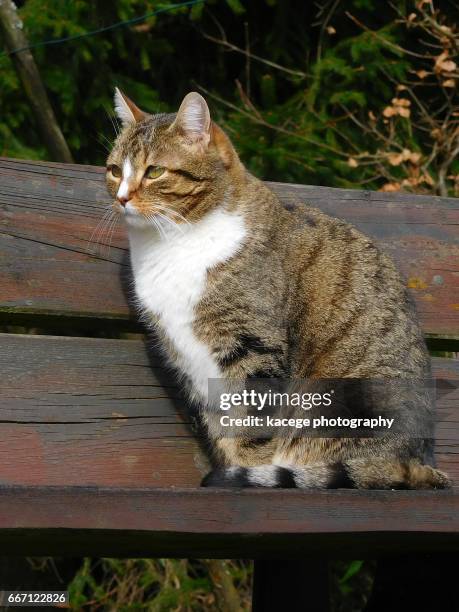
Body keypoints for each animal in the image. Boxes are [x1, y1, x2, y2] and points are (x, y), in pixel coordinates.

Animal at [105, 88, 450, 490]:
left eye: (155, 171)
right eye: (115, 170)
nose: (122, 198)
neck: (172, 242)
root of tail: (418, 464)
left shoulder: (253, 347)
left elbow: (253, 430)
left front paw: (245, 475)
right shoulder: (193, 362)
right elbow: (221, 426)